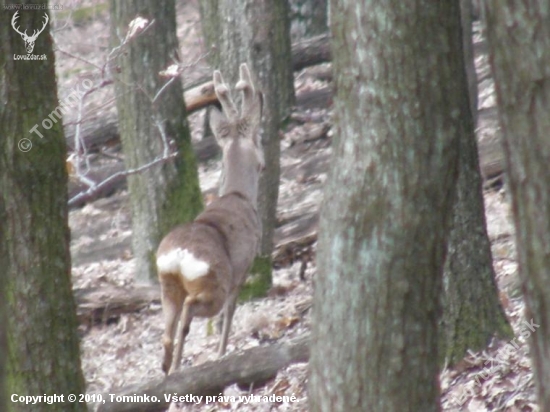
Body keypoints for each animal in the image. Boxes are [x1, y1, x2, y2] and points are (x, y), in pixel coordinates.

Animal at [157, 62, 266, 374]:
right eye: (259, 139)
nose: (263, 163)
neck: (238, 195)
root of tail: (179, 257)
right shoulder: (244, 265)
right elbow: (230, 311)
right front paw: (220, 351)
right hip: (213, 281)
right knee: (191, 311)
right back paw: (178, 365)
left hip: (166, 284)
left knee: (167, 330)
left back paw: (167, 367)